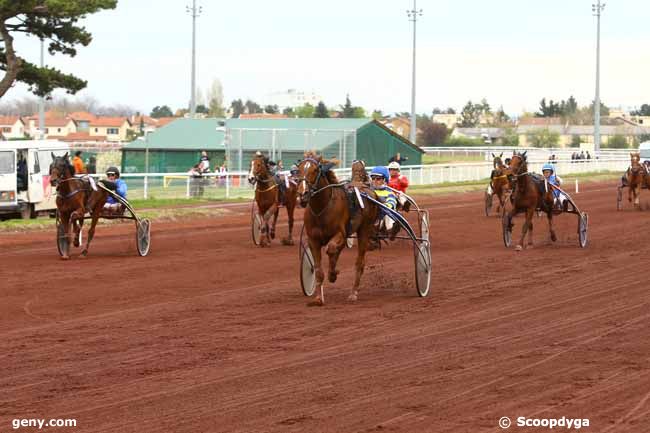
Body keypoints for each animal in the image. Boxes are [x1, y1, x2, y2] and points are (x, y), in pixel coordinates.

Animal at [296, 152, 378, 304]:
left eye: (315, 170)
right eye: (299, 169)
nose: (302, 194)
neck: (322, 208)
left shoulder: (340, 233)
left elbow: (331, 248)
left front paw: (333, 274)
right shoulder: (313, 240)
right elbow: (318, 270)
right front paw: (318, 298)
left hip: (364, 230)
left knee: (360, 262)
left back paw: (353, 293)